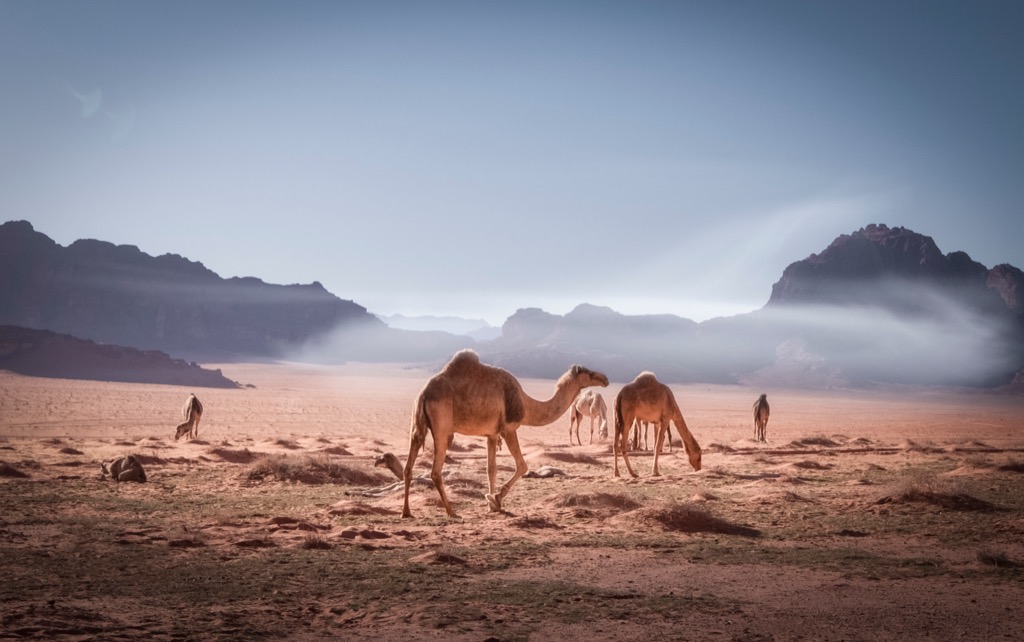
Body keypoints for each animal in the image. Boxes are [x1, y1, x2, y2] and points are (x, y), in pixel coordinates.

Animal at [399, 348, 606, 520]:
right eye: (588, 372)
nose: (604, 378)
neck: (527, 405)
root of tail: (424, 394)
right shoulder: (509, 428)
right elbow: (522, 465)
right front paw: (497, 498)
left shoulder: (491, 434)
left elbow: (491, 469)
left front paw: (491, 503)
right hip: (442, 427)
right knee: (435, 471)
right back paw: (452, 512)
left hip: (417, 425)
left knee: (408, 466)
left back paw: (406, 512)